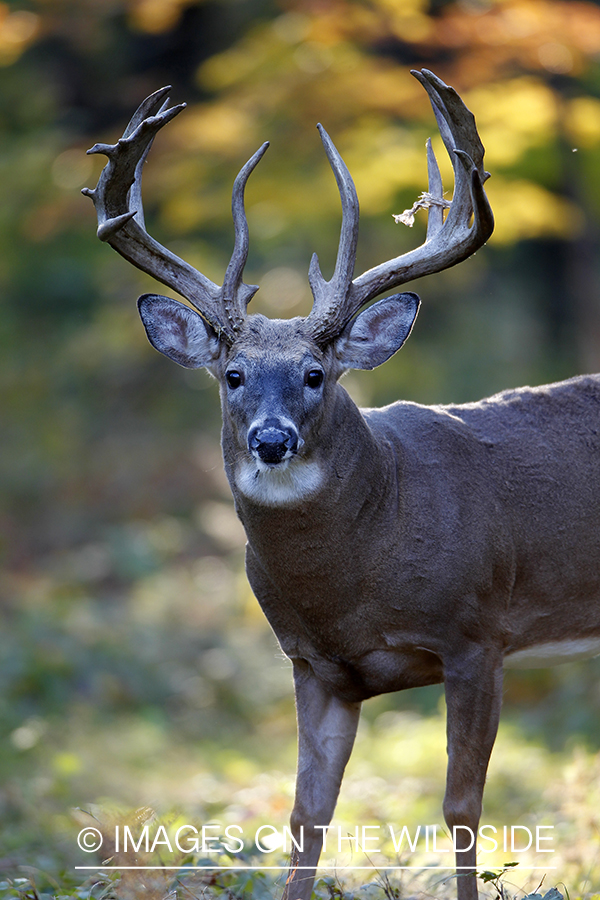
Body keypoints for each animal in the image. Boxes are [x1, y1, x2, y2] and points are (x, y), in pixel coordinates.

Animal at [83, 70, 600, 900]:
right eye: (233, 375)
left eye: (315, 375)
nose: (271, 439)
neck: (357, 572)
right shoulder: (314, 666)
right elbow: (307, 814)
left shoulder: (477, 633)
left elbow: (461, 806)